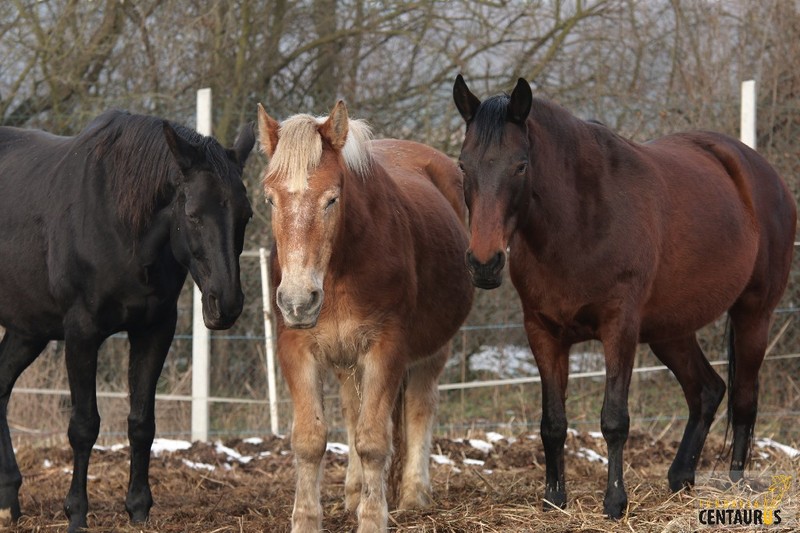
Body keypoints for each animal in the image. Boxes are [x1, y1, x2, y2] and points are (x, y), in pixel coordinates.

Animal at [0, 110, 255, 528]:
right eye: (192, 215)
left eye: (246, 215)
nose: (227, 304)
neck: (119, 225)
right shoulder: (82, 332)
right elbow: (84, 425)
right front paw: (76, 513)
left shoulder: (154, 330)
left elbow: (141, 423)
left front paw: (138, 508)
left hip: (28, 328)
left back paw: (8, 499)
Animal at [260, 101, 476, 532]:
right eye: (271, 199)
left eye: (331, 199)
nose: (297, 301)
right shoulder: (298, 349)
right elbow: (310, 440)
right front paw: (307, 520)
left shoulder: (385, 348)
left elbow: (375, 440)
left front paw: (374, 518)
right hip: (346, 359)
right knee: (351, 410)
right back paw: (354, 492)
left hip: (433, 350)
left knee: (420, 408)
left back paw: (413, 494)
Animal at [454, 76, 796, 520]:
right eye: (463, 165)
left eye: (521, 165)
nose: (484, 263)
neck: (580, 220)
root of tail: (764, 173)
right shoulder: (543, 332)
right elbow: (552, 424)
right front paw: (554, 499)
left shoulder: (619, 328)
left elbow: (614, 419)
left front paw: (615, 502)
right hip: (671, 330)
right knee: (706, 390)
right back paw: (681, 477)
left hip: (754, 314)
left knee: (743, 400)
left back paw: (735, 485)